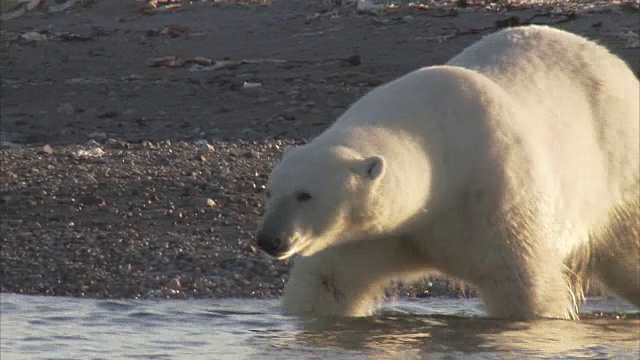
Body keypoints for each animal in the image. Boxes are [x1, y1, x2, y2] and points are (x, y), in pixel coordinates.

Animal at [256, 24, 640, 320]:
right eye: (271, 191)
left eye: (305, 195)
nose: (269, 240)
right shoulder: (367, 235)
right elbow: (328, 283)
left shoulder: (495, 191)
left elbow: (521, 281)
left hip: (618, 172)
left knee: (627, 252)